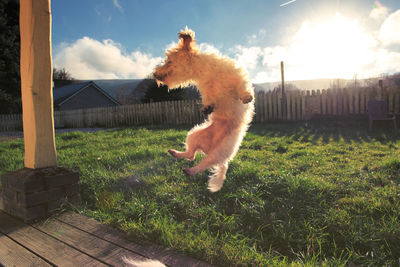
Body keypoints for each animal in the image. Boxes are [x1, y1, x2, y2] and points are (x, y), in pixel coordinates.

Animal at [153, 27, 253, 193]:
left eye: (168, 61)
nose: (154, 75)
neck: (207, 73)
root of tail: (209, 148)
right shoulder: (207, 93)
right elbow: (209, 100)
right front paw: (207, 108)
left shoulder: (237, 76)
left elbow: (241, 87)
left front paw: (246, 96)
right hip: (194, 135)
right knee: (191, 155)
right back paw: (177, 155)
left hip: (218, 152)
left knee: (202, 164)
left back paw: (190, 170)